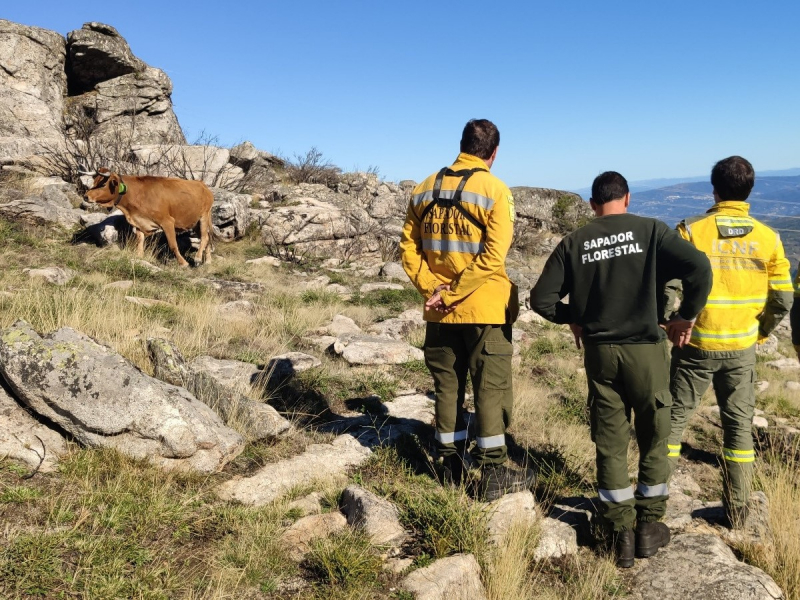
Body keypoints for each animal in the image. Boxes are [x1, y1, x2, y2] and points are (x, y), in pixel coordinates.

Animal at [83, 166, 212, 264]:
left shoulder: (167, 221)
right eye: (94, 182)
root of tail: (203, 185)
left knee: (205, 238)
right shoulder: (139, 222)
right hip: (195, 222)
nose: (85, 196)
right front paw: (139, 257)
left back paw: (198, 258)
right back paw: (208, 261)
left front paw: (183, 263)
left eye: (102, 184)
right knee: (207, 238)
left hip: (204, 216)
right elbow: (140, 242)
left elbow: (173, 245)